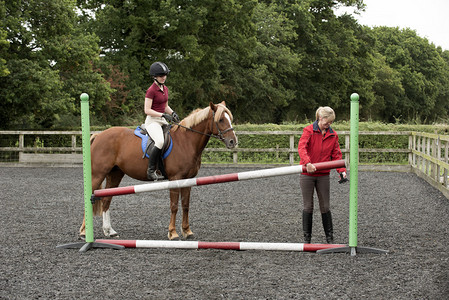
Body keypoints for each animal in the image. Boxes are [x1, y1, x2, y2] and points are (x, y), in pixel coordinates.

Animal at [79, 102, 236, 240]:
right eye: (221, 120)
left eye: (230, 118)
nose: (233, 142)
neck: (186, 141)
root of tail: (99, 135)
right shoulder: (175, 179)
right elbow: (174, 206)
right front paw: (173, 233)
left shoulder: (189, 180)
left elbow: (185, 206)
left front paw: (187, 231)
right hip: (97, 174)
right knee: (89, 199)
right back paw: (83, 233)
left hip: (115, 174)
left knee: (106, 200)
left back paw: (109, 231)